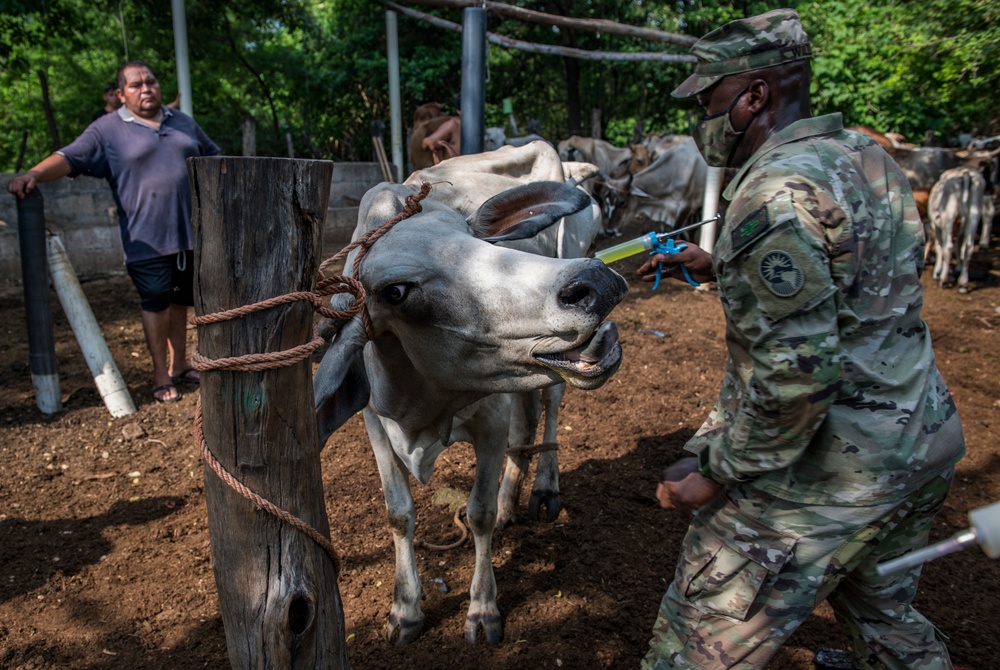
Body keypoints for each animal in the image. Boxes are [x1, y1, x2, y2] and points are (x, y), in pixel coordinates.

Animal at [312, 144, 624, 648]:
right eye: (396, 292)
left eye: (478, 239)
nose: (596, 281)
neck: (421, 410)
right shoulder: (375, 424)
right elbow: (398, 514)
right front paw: (406, 609)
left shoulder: (490, 418)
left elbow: (477, 513)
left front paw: (482, 609)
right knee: (527, 424)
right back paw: (511, 502)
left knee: (550, 407)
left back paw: (542, 490)